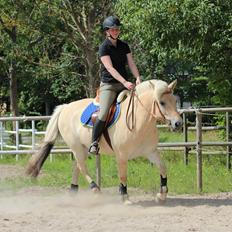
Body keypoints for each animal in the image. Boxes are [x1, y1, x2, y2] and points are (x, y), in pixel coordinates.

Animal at [26, 79, 183, 201]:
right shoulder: (121, 156)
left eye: (175, 101)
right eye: (162, 102)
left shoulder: (151, 152)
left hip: (83, 148)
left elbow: (163, 168)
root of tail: (65, 107)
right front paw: (125, 197)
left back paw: (74, 190)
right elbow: (123, 176)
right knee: (82, 167)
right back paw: (95, 189)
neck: (138, 120)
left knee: (77, 166)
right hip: (77, 147)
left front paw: (161, 195)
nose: (178, 123)